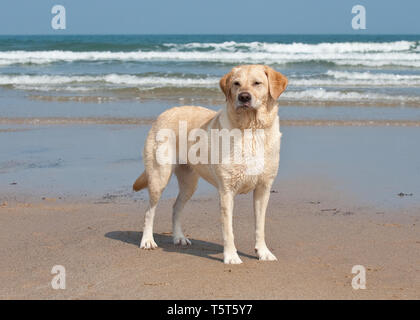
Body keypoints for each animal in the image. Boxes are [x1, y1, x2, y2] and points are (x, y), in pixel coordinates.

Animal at [133, 65, 288, 264]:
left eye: (257, 83)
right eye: (236, 84)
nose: (244, 97)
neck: (250, 128)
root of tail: (164, 113)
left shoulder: (263, 189)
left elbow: (260, 226)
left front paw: (263, 252)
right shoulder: (226, 191)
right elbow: (228, 229)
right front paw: (231, 256)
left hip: (189, 184)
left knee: (176, 207)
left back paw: (179, 237)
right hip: (159, 177)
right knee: (149, 211)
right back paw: (147, 241)